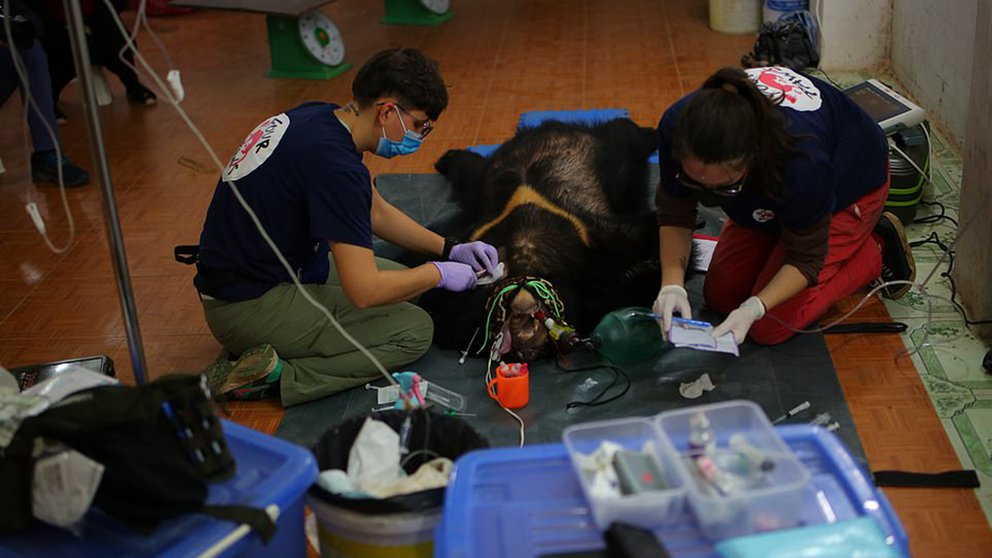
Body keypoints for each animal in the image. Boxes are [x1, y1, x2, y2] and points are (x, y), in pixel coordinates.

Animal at [420, 118, 664, 364]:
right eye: (499, 321)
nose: (524, 339)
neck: (525, 255)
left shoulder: (587, 241)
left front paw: (649, 265)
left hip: (609, 158)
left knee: (628, 137)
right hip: (483, 184)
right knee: (469, 170)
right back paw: (447, 158)